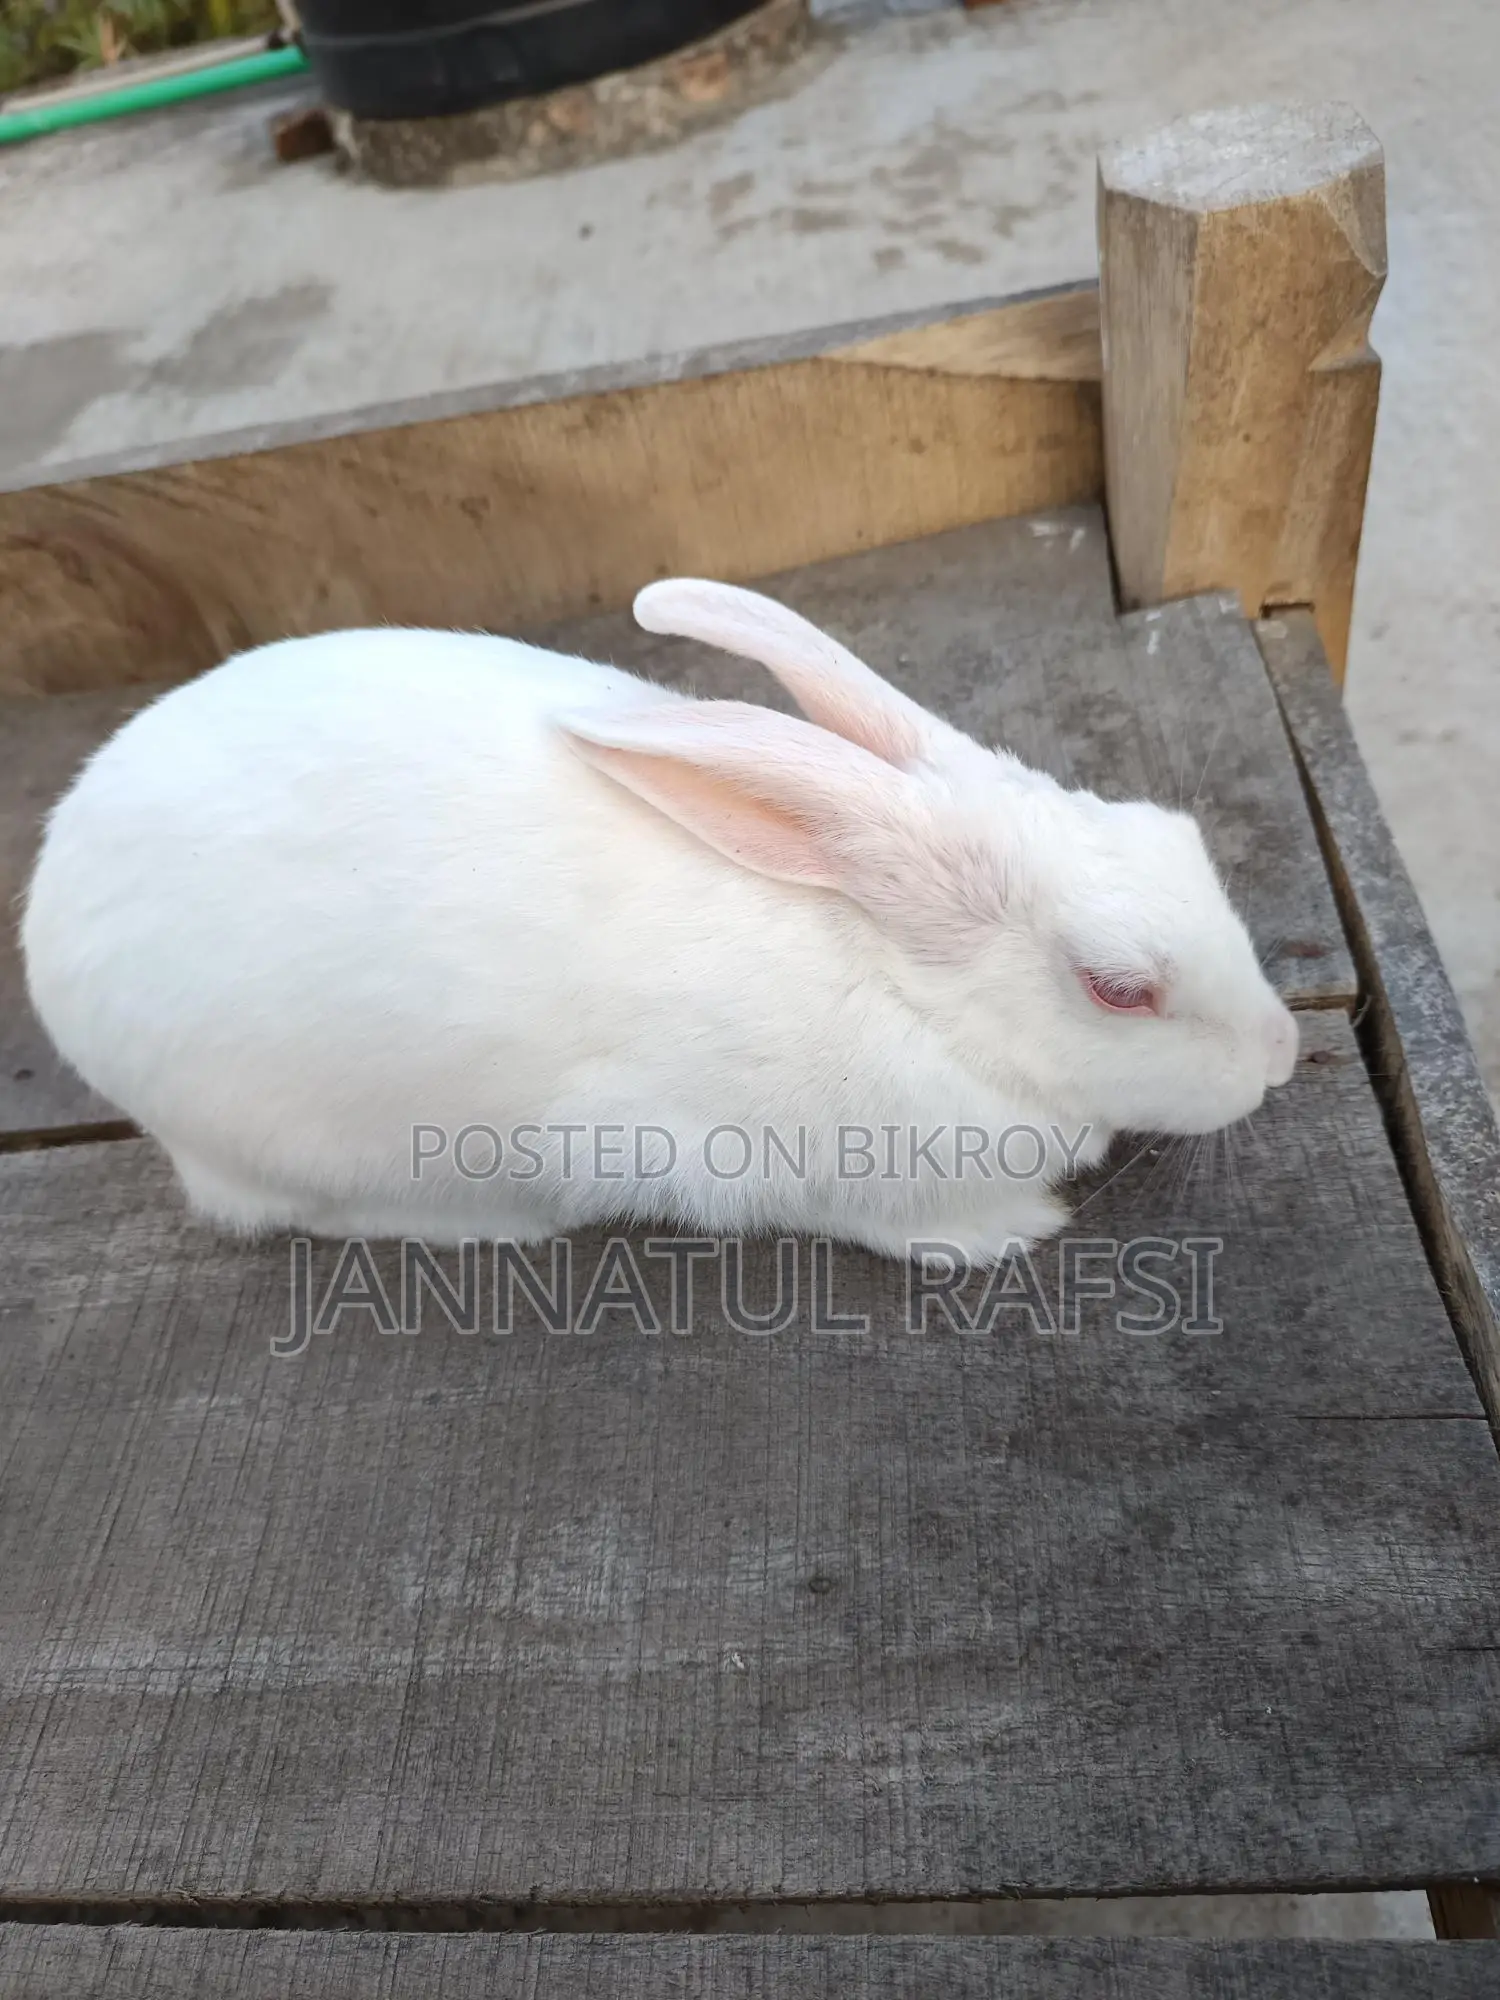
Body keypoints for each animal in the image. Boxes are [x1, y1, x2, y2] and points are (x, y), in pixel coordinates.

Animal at [21, 578, 1298, 1267]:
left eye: (1180, 836)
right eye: (1119, 987)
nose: (1283, 1056)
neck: (896, 978)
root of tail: (45, 920)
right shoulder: (739, 1156)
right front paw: (1009, 1229)